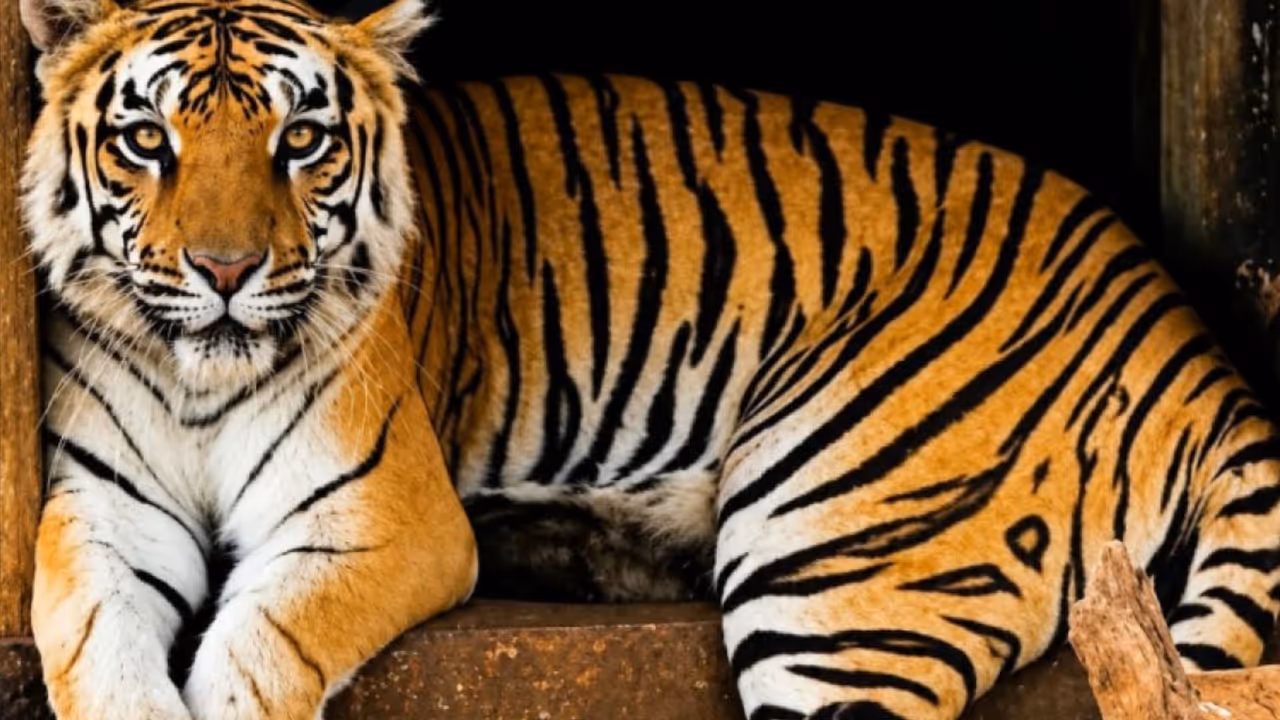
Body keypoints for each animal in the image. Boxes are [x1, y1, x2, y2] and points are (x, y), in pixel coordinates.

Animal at [17, 0, 1280, 718]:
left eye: (302, 140)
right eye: (146, 141)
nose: (226, 269)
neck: (203, 376)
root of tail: (1196, 347)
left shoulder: (380, 517)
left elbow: (262, 647)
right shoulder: (103, 505)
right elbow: (85, 631)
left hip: (837, 568)